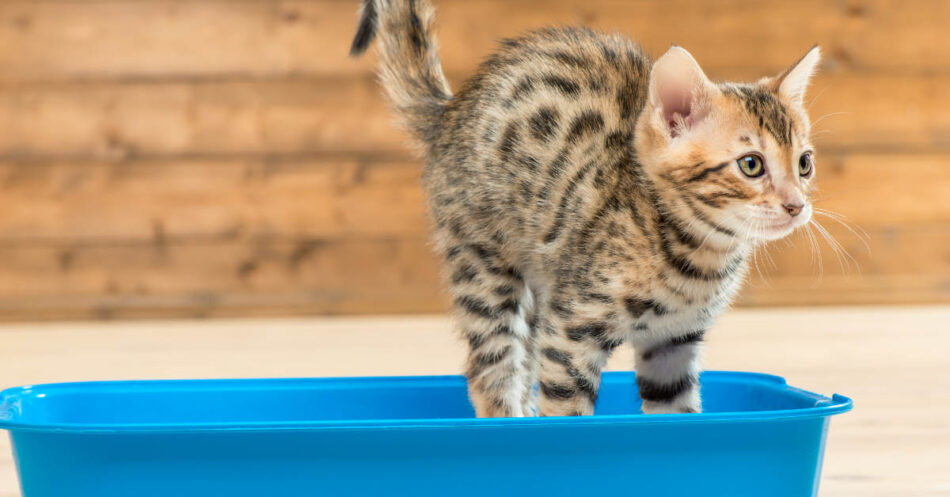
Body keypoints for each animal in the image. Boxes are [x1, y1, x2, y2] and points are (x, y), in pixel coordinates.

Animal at [350, 0, 820, 416]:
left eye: (804, 164)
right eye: (751, 165)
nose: (796, 206)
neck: (696, 254)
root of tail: (450, 110)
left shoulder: (673, 342)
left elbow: (677, 414)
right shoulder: (570, 333)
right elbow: (568, 415)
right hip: (484, 268)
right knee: (491, 371)